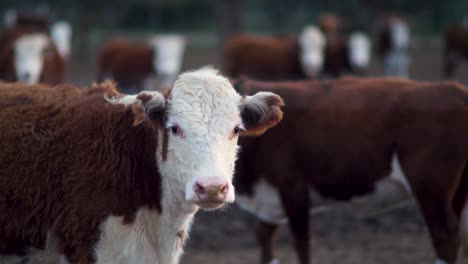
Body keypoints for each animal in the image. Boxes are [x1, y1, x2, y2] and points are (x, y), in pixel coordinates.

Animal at [233, 77, 468, 264]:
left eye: (235, 127)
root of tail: (454, 89)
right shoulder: (269, 199)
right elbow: (265, 239)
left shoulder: (293, 188)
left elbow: (302, 245)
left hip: (430, 187)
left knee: (445, 235)